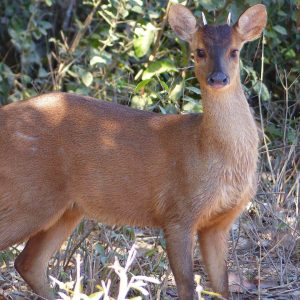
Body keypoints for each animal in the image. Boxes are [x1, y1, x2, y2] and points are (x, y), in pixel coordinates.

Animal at [0, 2, 268, 300]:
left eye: (235, 51)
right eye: (199, 51)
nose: (218, 78)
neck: (209, 149)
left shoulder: (220, 222)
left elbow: (221, 287)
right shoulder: (178, 212)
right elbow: (187, 286)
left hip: (67, 208)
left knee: (29, 263)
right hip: (29, 193)